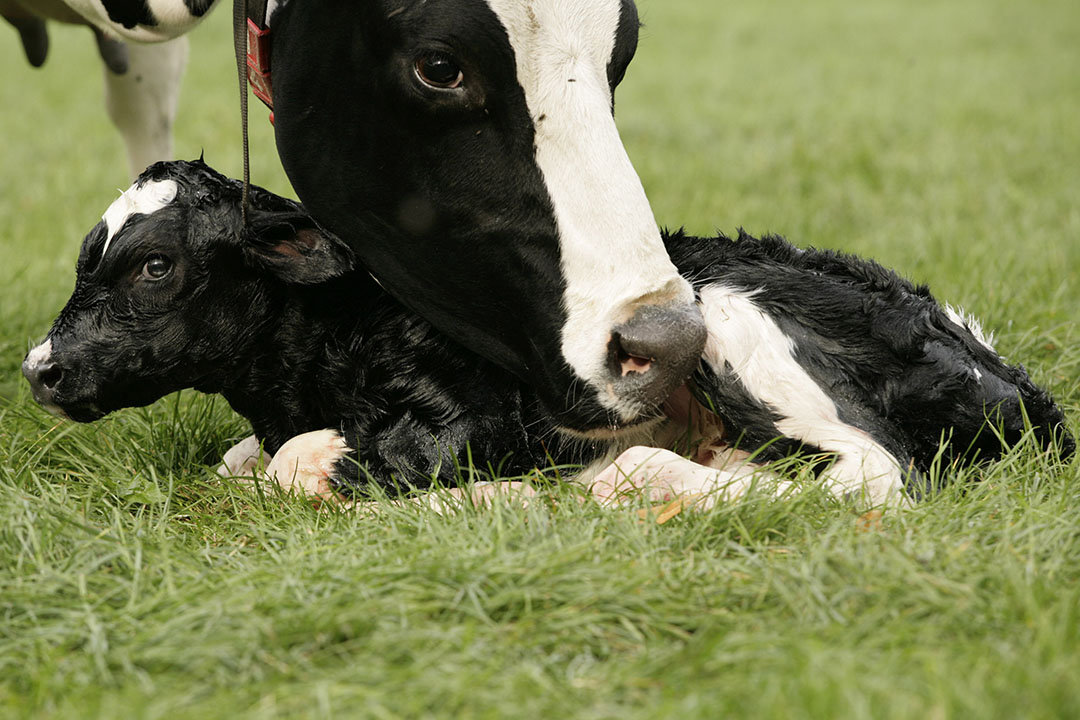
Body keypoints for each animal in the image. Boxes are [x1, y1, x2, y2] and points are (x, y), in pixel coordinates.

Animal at [21, 158, 1075, 507]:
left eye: (154, 266)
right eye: (84, 257)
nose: (38, 369)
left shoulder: (473, 422)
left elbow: (304, 464)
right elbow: (244, 459)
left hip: (730, 305)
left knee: (874, 474)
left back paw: (630, 479)